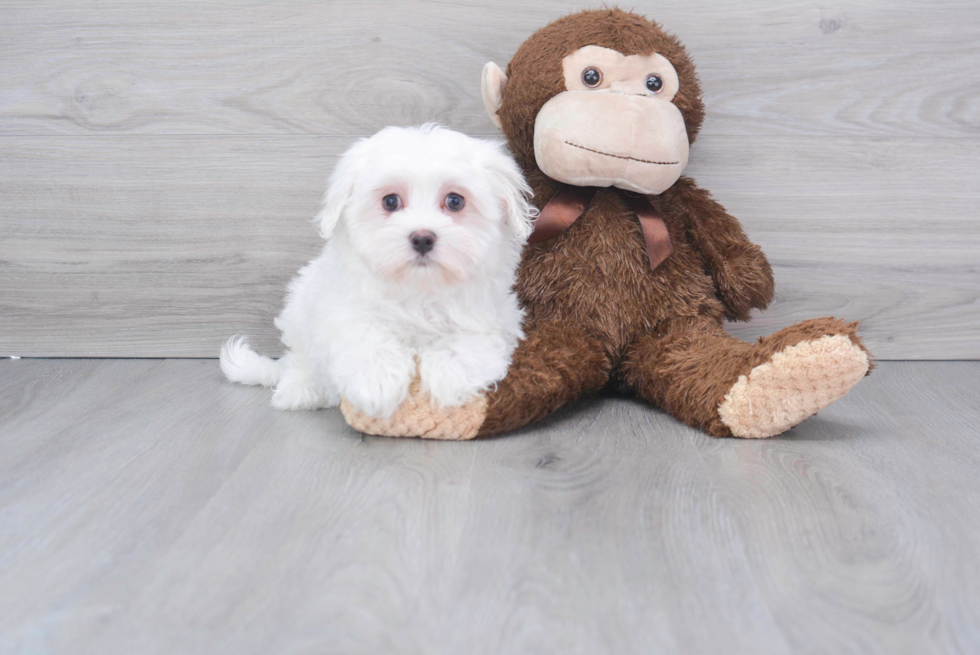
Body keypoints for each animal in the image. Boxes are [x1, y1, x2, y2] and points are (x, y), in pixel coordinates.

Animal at [220, 125, 536, 418]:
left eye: (455, 201)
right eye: (390, 201)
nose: (422, 238)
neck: (418, 290)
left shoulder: (493, 315)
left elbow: (469, 341)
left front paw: (449, 379)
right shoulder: (341, 308)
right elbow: (364, 333)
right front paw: (377, 383)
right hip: (299, 309)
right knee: (300, 360)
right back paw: (302, 389)